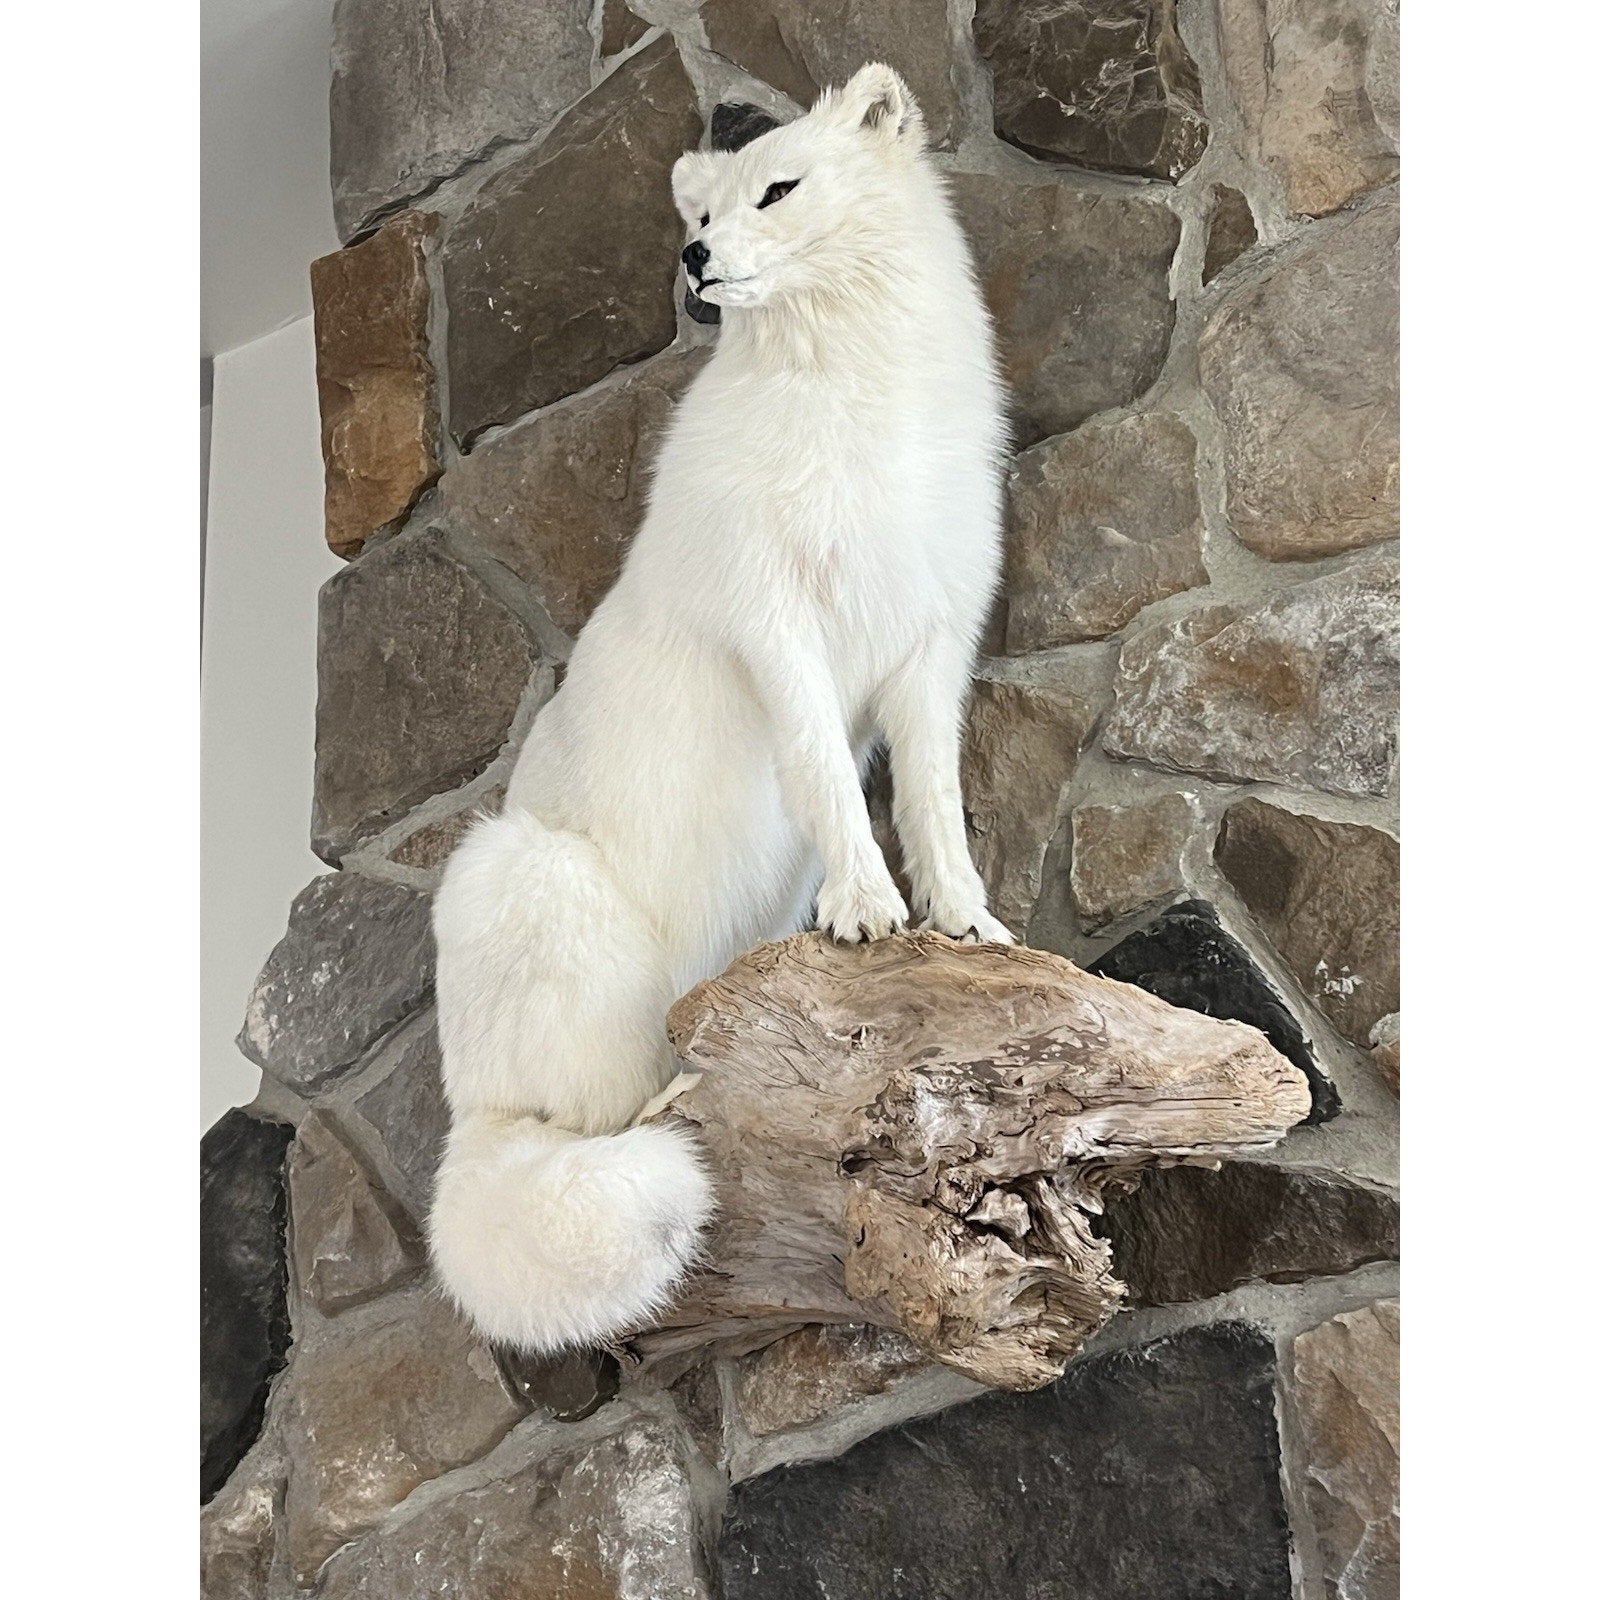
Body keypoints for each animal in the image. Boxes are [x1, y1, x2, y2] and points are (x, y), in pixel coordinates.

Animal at [428, 62, 1013, 1354]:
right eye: (699, 217)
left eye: (777, 190)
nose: (693, 264)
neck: (858, 402)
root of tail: (472, 1107)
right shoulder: (775, 623)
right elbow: (827, 774)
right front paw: (866, 911)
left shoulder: (933, 636)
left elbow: (934, 796)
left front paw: (962, 920)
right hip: (514, 880)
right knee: (609, 1119)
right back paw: (671, 1092)